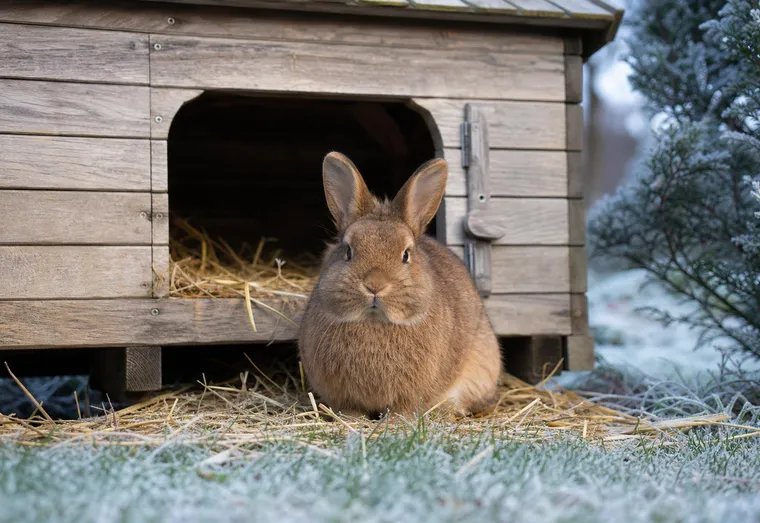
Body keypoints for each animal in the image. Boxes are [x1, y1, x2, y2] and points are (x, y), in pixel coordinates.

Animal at [298, 152, 502, 418]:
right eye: (348, 252)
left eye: (406, 255)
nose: (374, 285)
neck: (374, 322)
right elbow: (350, 409)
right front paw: (352, 419)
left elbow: (403, 409)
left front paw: (395, 421)